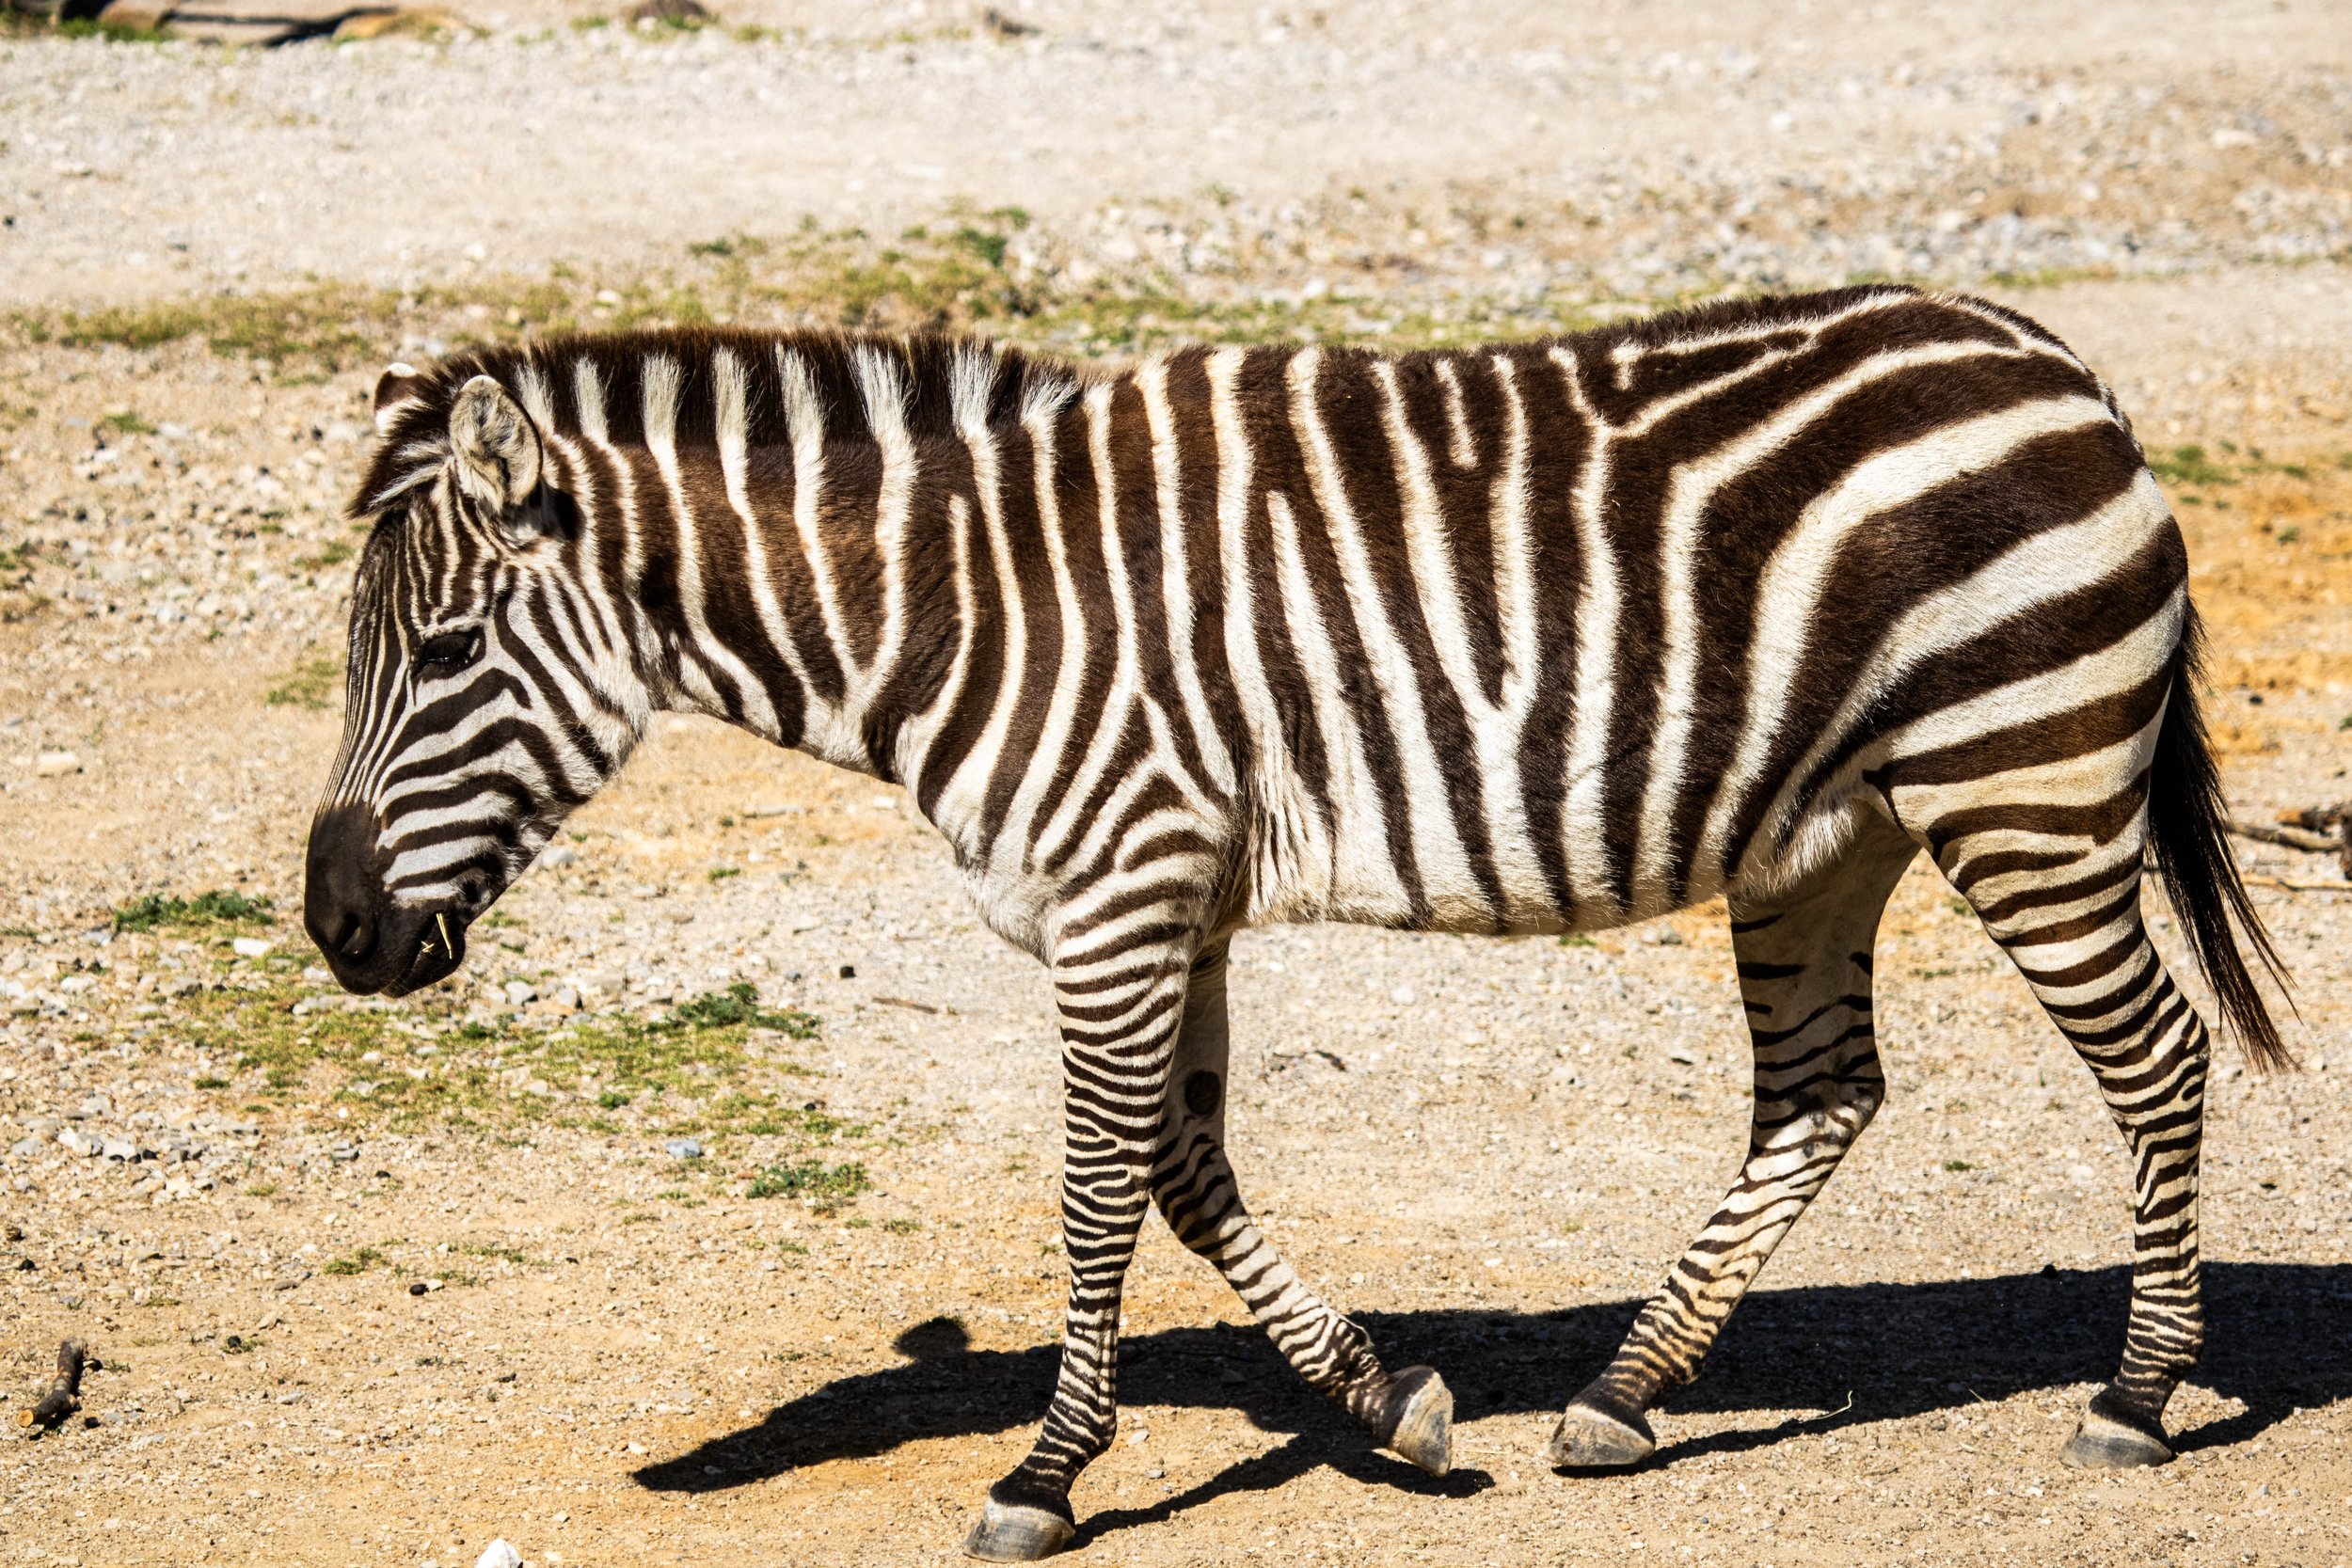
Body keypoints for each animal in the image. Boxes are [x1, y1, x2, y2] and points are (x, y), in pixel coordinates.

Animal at [303, 285, 2290, 1561]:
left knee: (2157, 1058)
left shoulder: (1120, 886)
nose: (333, 928)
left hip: (2022, 783)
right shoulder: (1171, 896)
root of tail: (2062, 367)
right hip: (1833, 829)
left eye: (448, 653)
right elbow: (1185, 1172)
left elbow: (1102, 1187)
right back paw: (1626, 1391)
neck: (962, 603)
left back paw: (2136, 1391)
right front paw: (1387, 1400)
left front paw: (1045, 1473)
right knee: (1823, 1093)